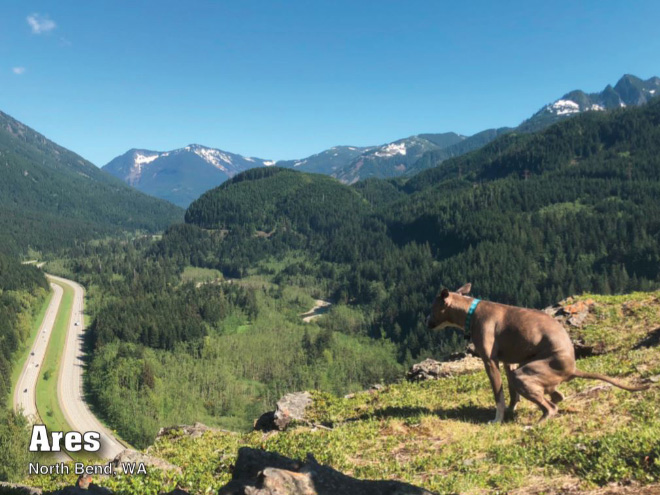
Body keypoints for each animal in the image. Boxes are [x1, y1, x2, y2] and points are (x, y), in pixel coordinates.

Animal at [426, 284, 648, 424]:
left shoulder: (490, 362)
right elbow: (512, 393)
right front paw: (511, 410)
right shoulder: (509, 362)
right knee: (556, 396)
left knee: (551, 407)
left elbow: (499, 396)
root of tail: (572, 368)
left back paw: (534, 424)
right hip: (528, 370)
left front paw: (498, 419)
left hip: (525, 374)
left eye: (432, 308)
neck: (471, 311)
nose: (426, 323)